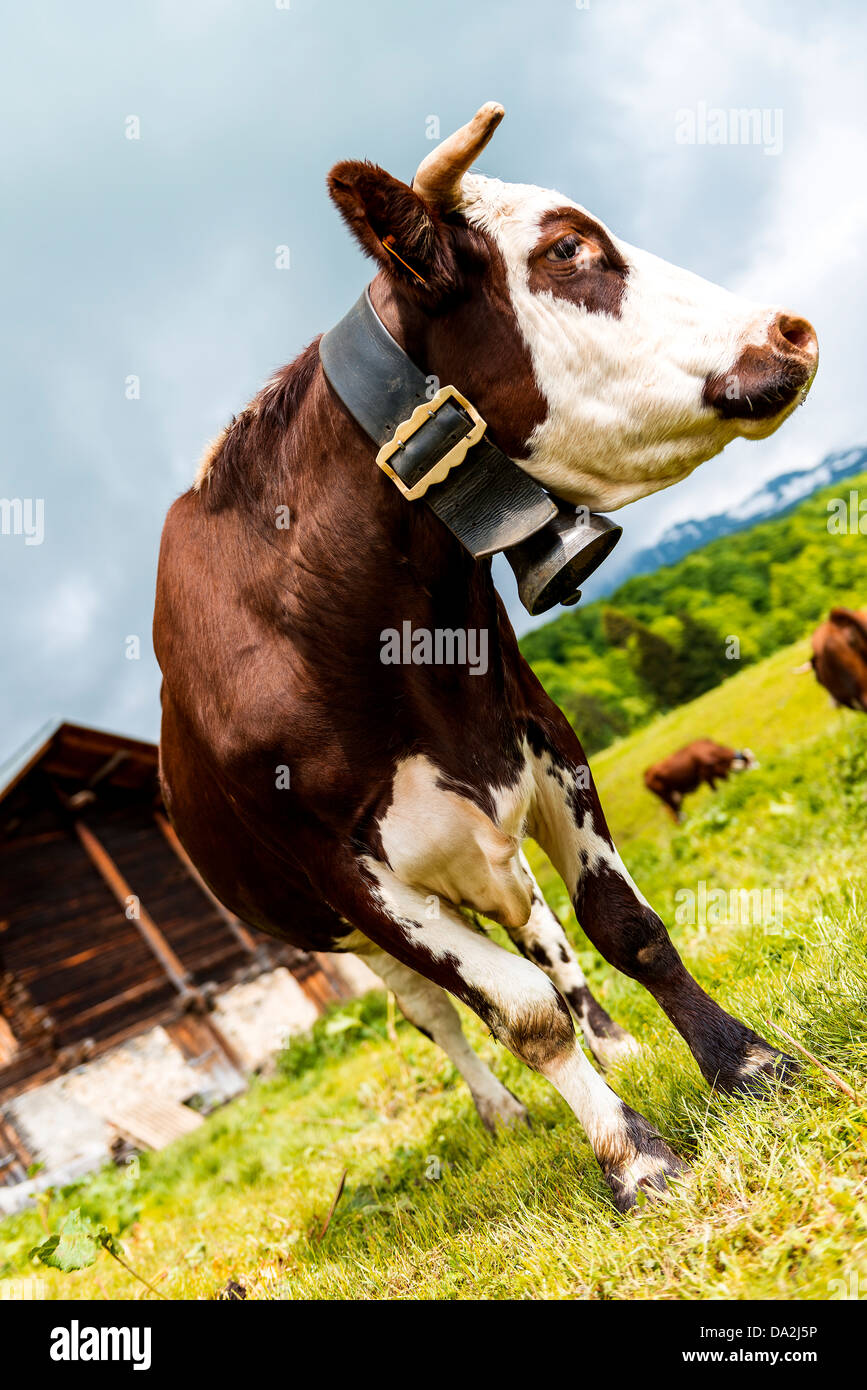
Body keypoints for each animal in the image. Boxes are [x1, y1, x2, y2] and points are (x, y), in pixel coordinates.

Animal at [154, 102, 816, 1212]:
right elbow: (515, 1012)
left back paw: (619, 1047)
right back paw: (503, 1114)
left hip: (485, 851)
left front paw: (743, 1060)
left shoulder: (537, 732)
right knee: (439, 1016)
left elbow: (622, 927)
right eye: (566, 252)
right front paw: (633, 1155)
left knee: (548, 942)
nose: (791, 330)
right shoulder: (347, 876)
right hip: (342, 933)